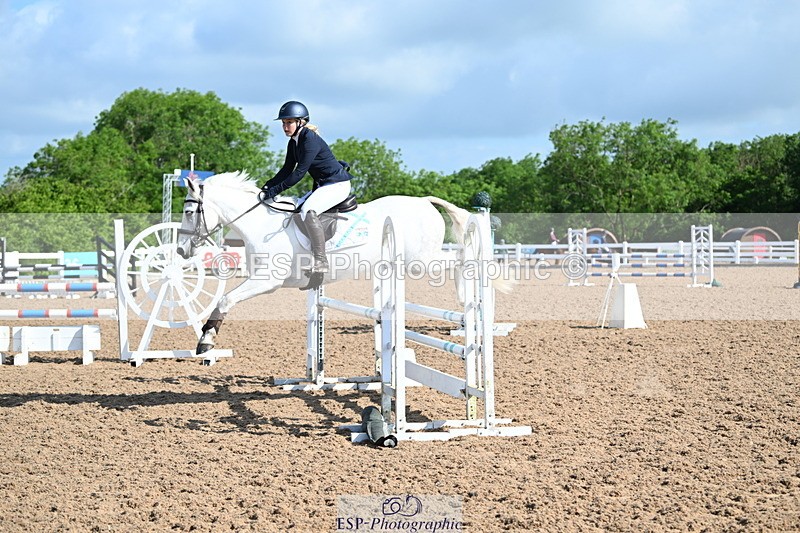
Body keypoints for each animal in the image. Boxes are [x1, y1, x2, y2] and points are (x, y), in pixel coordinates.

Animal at [175, 171, 477, 355]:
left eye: (189, 212)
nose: (181, 249)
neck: (259, 224)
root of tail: (424, 201)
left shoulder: (267, 281)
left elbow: (226, 299)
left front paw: (205, 342)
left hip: (420, 261)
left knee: (461, 258)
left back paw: (466, 300)